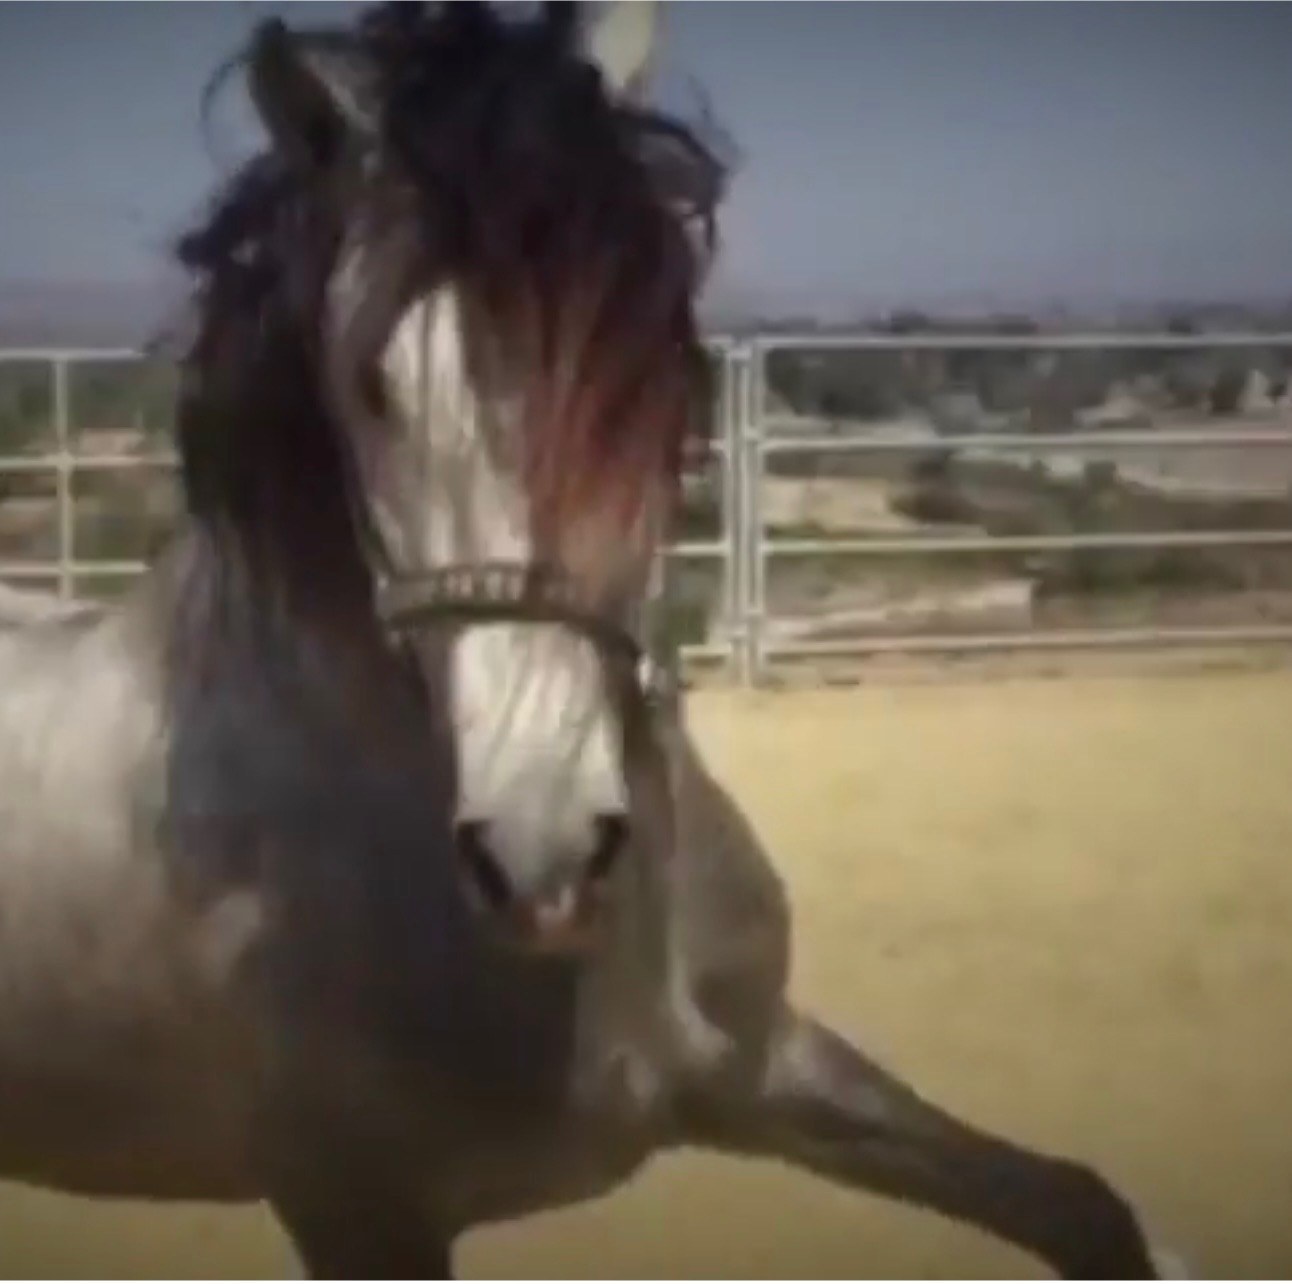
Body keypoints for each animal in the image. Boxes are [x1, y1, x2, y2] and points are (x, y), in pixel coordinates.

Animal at [0, 2, 1183, 1276]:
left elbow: (1081, 1206)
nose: (545, 860)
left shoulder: (765, 1069)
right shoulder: (358, 1212)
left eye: (650, 351)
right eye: (369, 389)